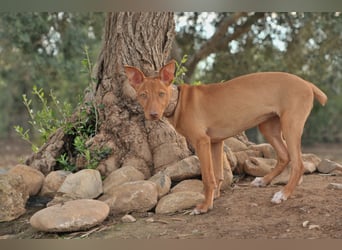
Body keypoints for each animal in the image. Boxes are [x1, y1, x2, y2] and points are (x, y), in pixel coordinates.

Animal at [124, 60, 328, 215]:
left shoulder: (201, 142)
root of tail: (306, 83)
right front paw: (215, 197)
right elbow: (218, 174)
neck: (178, 101)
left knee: (298, 163)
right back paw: (263, 181)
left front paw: (204, 206)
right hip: (268, 126)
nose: (153, 115)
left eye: (161, 94)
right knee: (284, 156)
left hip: (290, 125)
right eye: (143, 95)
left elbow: (208, 177)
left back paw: (283, 194)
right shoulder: (215, 142)